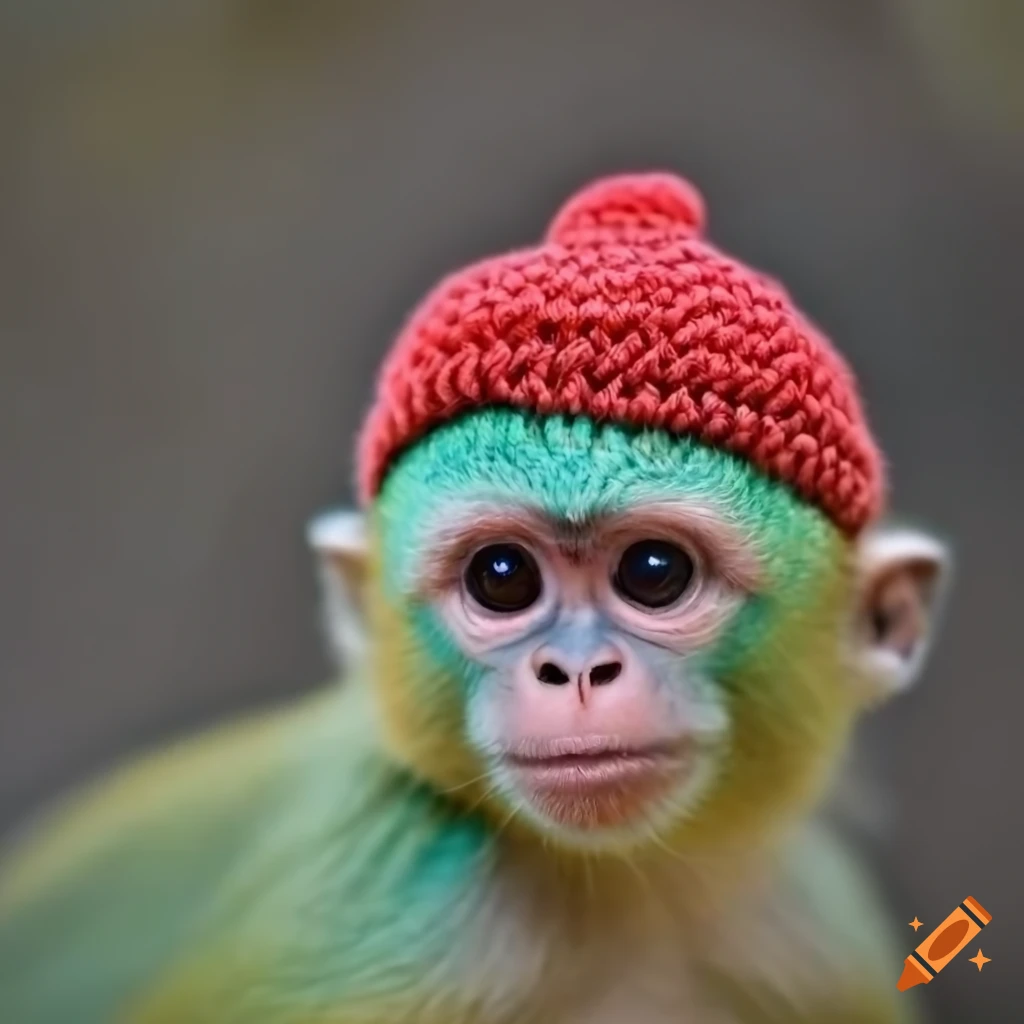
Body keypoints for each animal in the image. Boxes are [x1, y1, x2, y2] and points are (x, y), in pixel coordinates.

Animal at [0, 173, 949, 1023]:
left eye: (653, 572)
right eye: (503, 578)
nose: (577, 671)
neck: (621, 893)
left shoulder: (816, 940)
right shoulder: (378, 923)